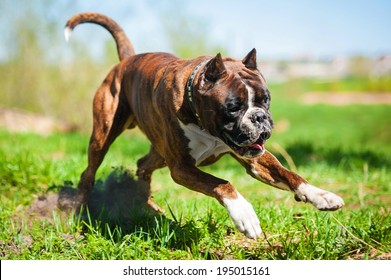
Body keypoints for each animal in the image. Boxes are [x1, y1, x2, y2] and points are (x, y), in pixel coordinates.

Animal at [66, 12, 344, 238]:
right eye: (233, 107)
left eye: (265, 100)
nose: (259, 117)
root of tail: (127, 60)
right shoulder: (182, 168)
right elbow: (222, 183)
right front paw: (244, 214)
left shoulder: (256, 161)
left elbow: (289, 174)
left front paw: (321, 195)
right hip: (103, 136)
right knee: (88, 172)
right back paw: (78, 213)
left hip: (159, 153)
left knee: (142, 165)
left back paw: (146, 204)